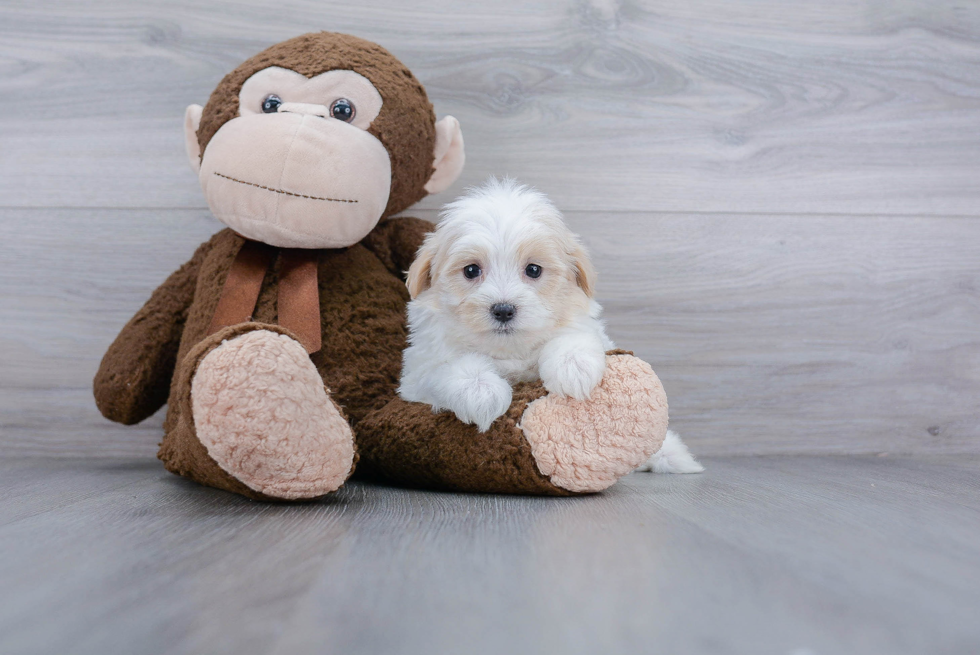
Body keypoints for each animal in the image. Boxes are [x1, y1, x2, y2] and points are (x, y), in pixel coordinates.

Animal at [398, 179, 612, 434]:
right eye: (471, 270)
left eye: (533, 270)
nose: (503, 310)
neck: (509, 351)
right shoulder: (418, 372)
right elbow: (448, 366)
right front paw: (480, 391)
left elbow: (575, 334)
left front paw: (574, 366)